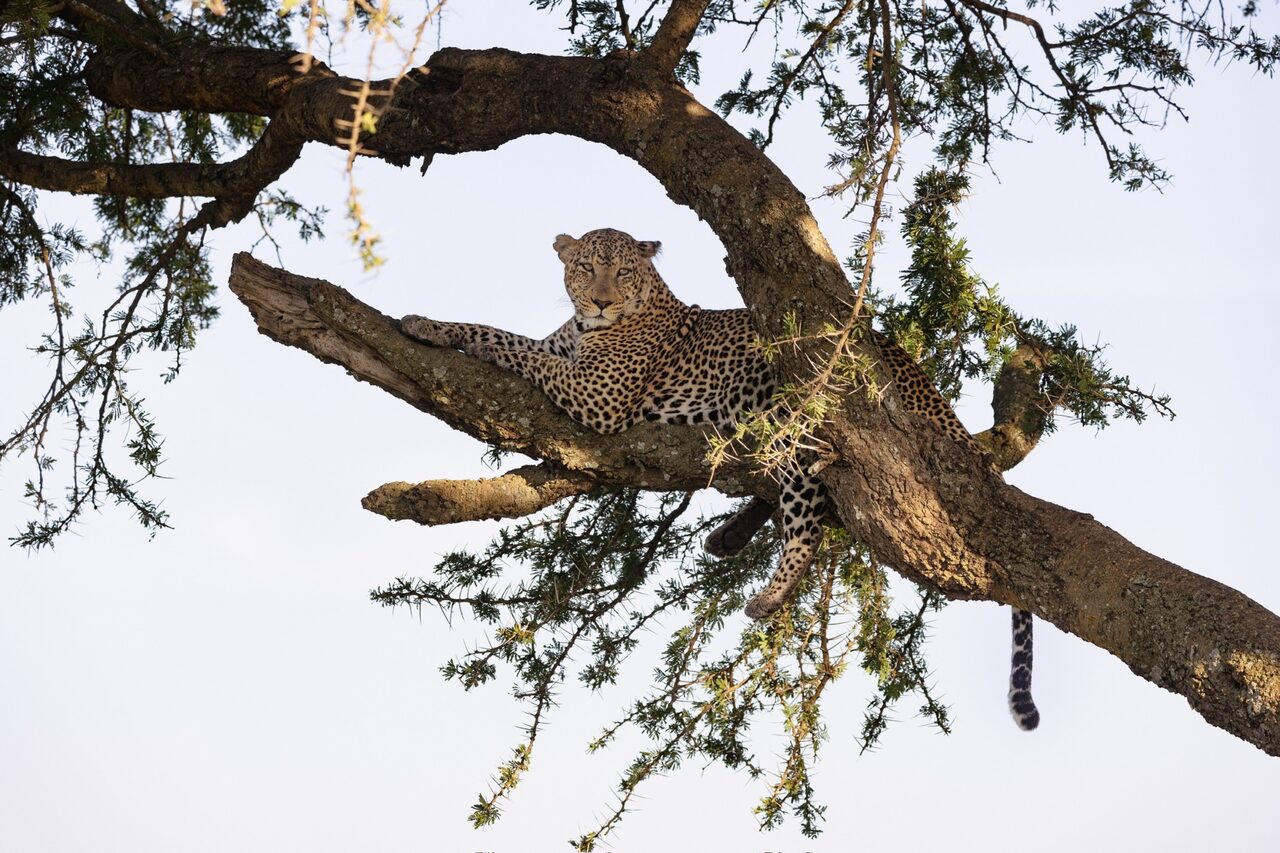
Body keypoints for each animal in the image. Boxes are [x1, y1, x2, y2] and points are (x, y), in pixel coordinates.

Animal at [401, 227, 1039, 731]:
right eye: (586, 266)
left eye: (623, 271)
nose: (602, 302)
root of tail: (920, 379)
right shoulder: (565, 354)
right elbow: (496, 332)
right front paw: (426, 324)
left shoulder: (597, 396)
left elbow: (515, 352)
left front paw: (449, 336)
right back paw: (728, 538)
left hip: (797, 425)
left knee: (810, 514)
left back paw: (769, 595)